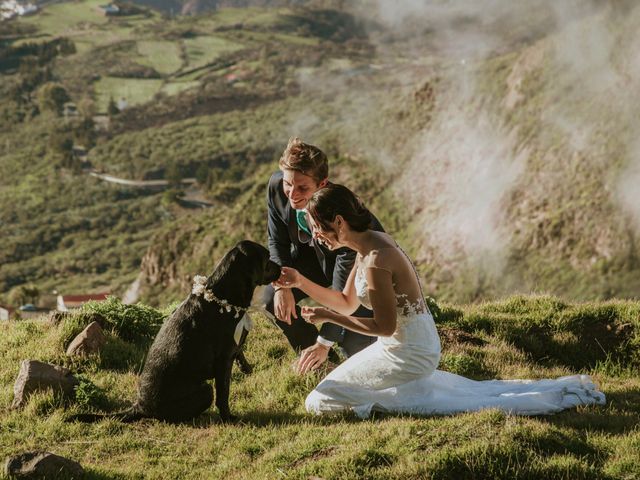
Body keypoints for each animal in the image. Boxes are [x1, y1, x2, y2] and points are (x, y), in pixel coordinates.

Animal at [71, 240, 278, 424]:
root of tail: (139, 407)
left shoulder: (233, 348)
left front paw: (246, 367)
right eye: (267, 258)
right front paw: (228, 418)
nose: (281, 267)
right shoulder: (223, 360)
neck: (222, 298)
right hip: (204, 390)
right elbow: (223, 395)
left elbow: (240, 353)